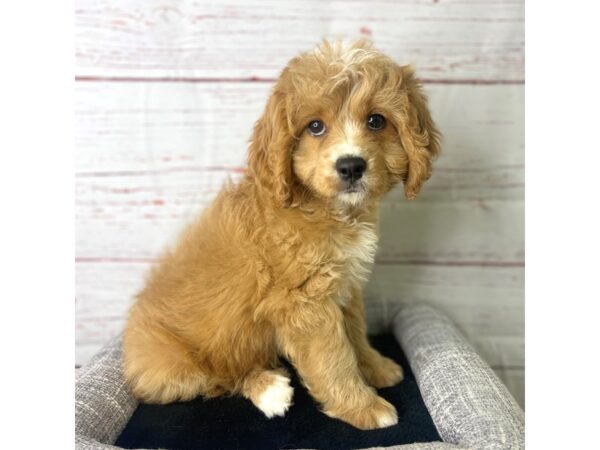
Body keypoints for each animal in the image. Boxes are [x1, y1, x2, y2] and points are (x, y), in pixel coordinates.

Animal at [123, 40, 440, 430]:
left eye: (376, 121)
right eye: (315, 126)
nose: (351, 166)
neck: (330, 209)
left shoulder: (344, 287)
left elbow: (355, 332)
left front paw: (375, 366)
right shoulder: (304, 304)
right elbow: (334, 358)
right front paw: (363, 407)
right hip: (173, 367)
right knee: (218, 378)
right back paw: (267, 388)